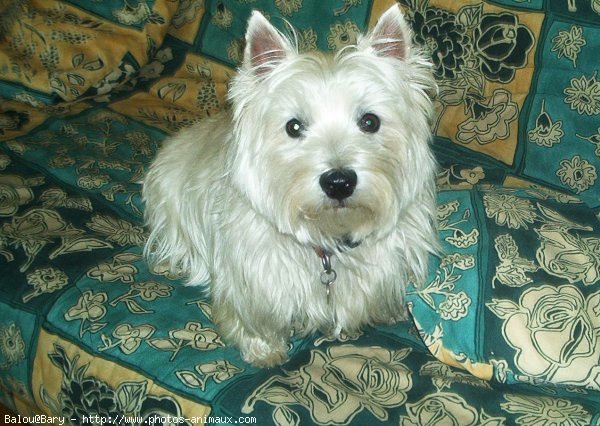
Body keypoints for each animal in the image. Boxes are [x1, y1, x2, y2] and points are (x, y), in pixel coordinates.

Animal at [143, 4, 438, 366]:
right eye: (293, 126)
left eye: (370, 121)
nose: (338, 182)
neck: (328, 236)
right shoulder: (251, 280)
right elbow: (252, 318)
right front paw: (264, 350)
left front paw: (391, 311)